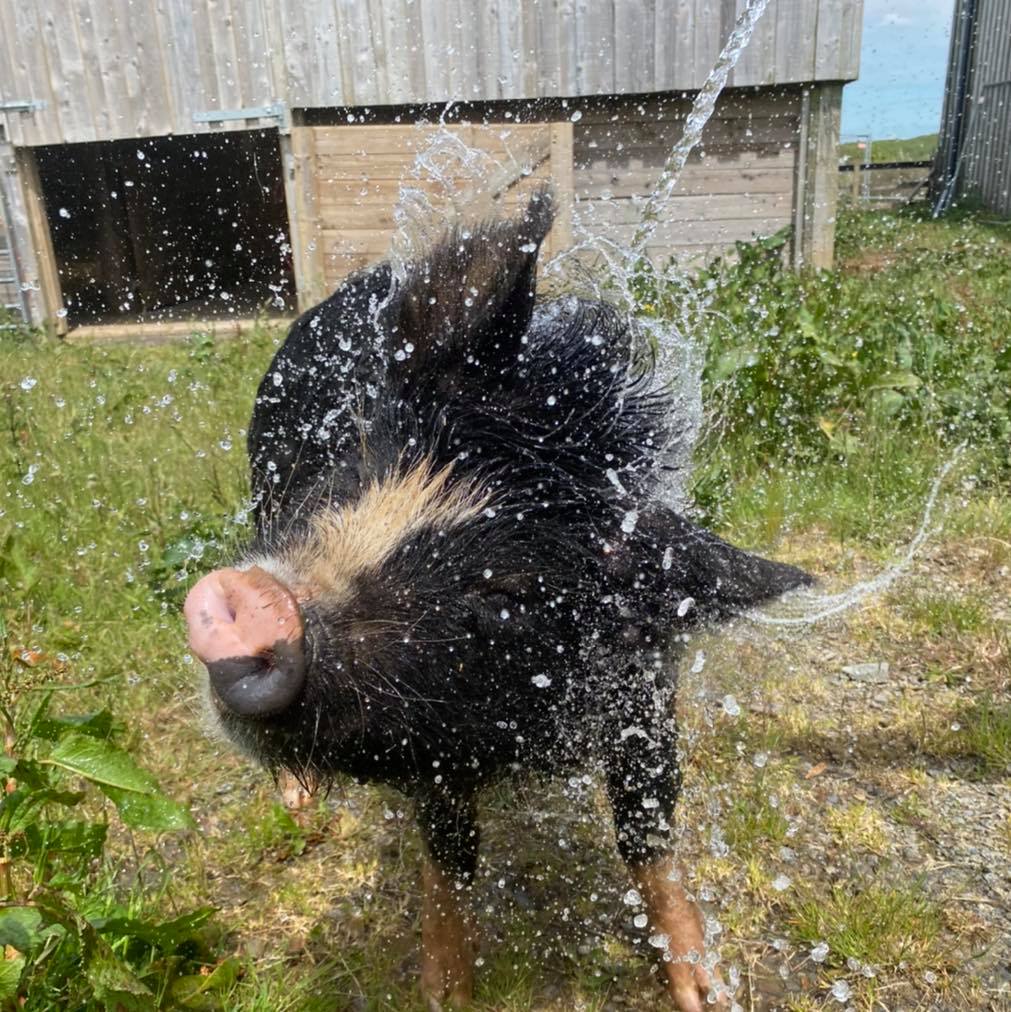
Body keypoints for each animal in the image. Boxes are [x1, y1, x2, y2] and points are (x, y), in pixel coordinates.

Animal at [184, 190, 811, 1012]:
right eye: (343, 482)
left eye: (503, 596)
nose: (252, 600)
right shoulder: (431, 737)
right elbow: (450, 848)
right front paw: (446, 992)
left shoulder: (638, 679)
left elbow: (647, 819)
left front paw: (707, 993)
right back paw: (297, 802)